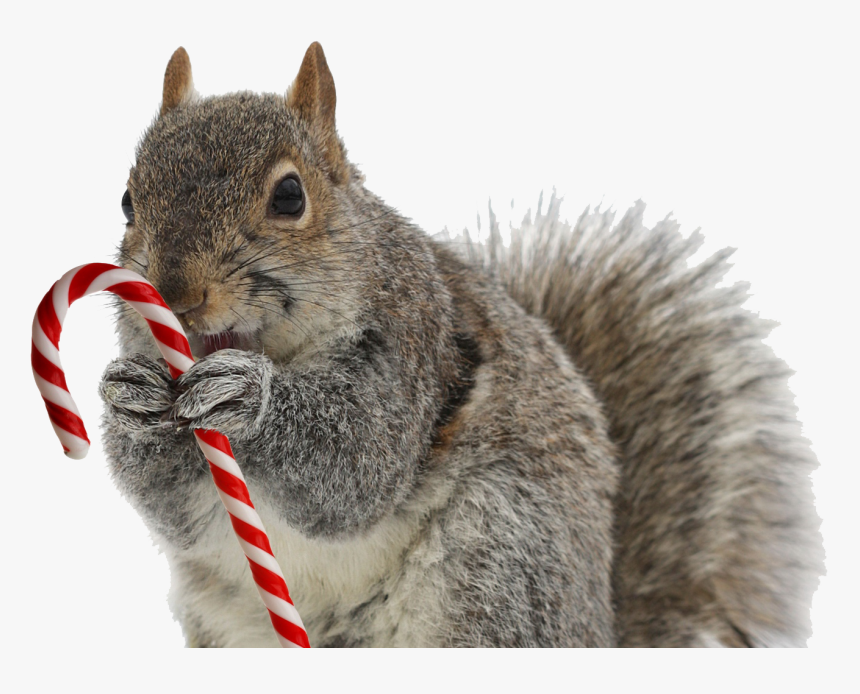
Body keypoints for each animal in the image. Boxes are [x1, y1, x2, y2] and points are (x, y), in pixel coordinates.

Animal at [99, 43, 823, 647]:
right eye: (129, 200)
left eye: (289, 196)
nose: (175, 292)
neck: (280, 348)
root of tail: (598, 626)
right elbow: (171, 508)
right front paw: (130, 401)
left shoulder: (414, 353)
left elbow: (356, 466)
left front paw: (249, 396)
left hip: (501, 563)